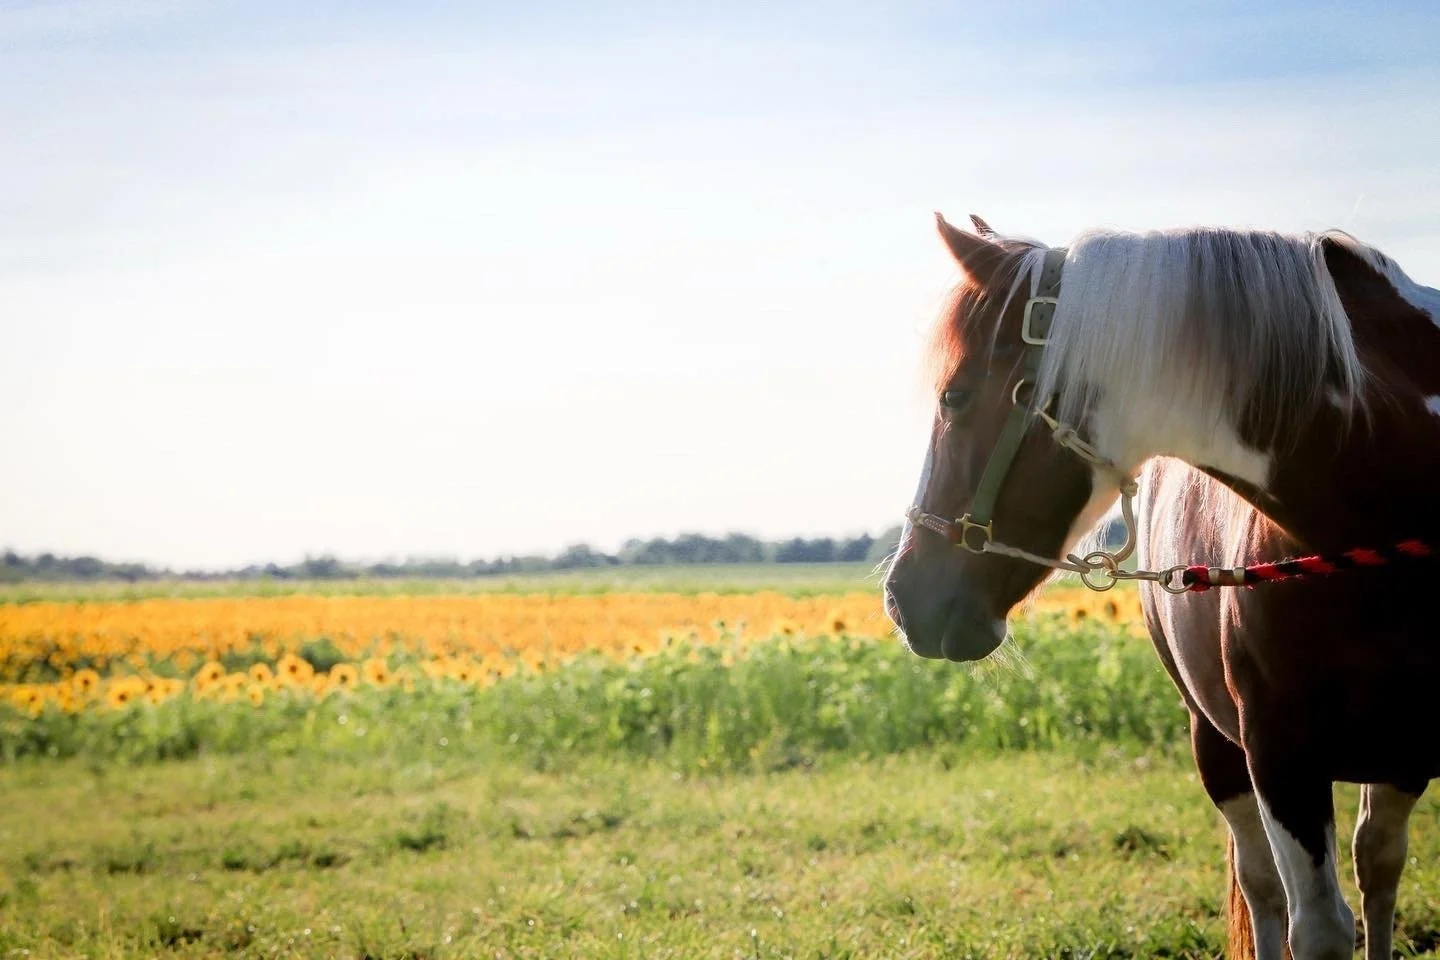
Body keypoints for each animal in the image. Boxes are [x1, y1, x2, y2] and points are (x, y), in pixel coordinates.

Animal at [883, 213, 1440, 960]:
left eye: (955, 395)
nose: (902, 597)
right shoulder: (1278, 754)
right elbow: (1314, 924)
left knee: (1376, 864)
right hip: (1219, 749)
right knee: (1263, 885)